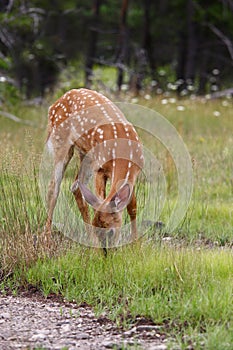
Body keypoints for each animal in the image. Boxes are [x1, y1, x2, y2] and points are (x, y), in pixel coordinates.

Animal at [45, 89, 144, 249]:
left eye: (110, 231)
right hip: (61, 142)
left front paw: (135, 244)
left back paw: (89, 240)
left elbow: (132, 207)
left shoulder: (134, 174)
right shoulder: (100, 169)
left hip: (85, 154)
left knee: (75, 186)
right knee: (53, 187)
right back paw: (46, 237)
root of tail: (54, 104)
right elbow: (100, 199)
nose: (105, 251)